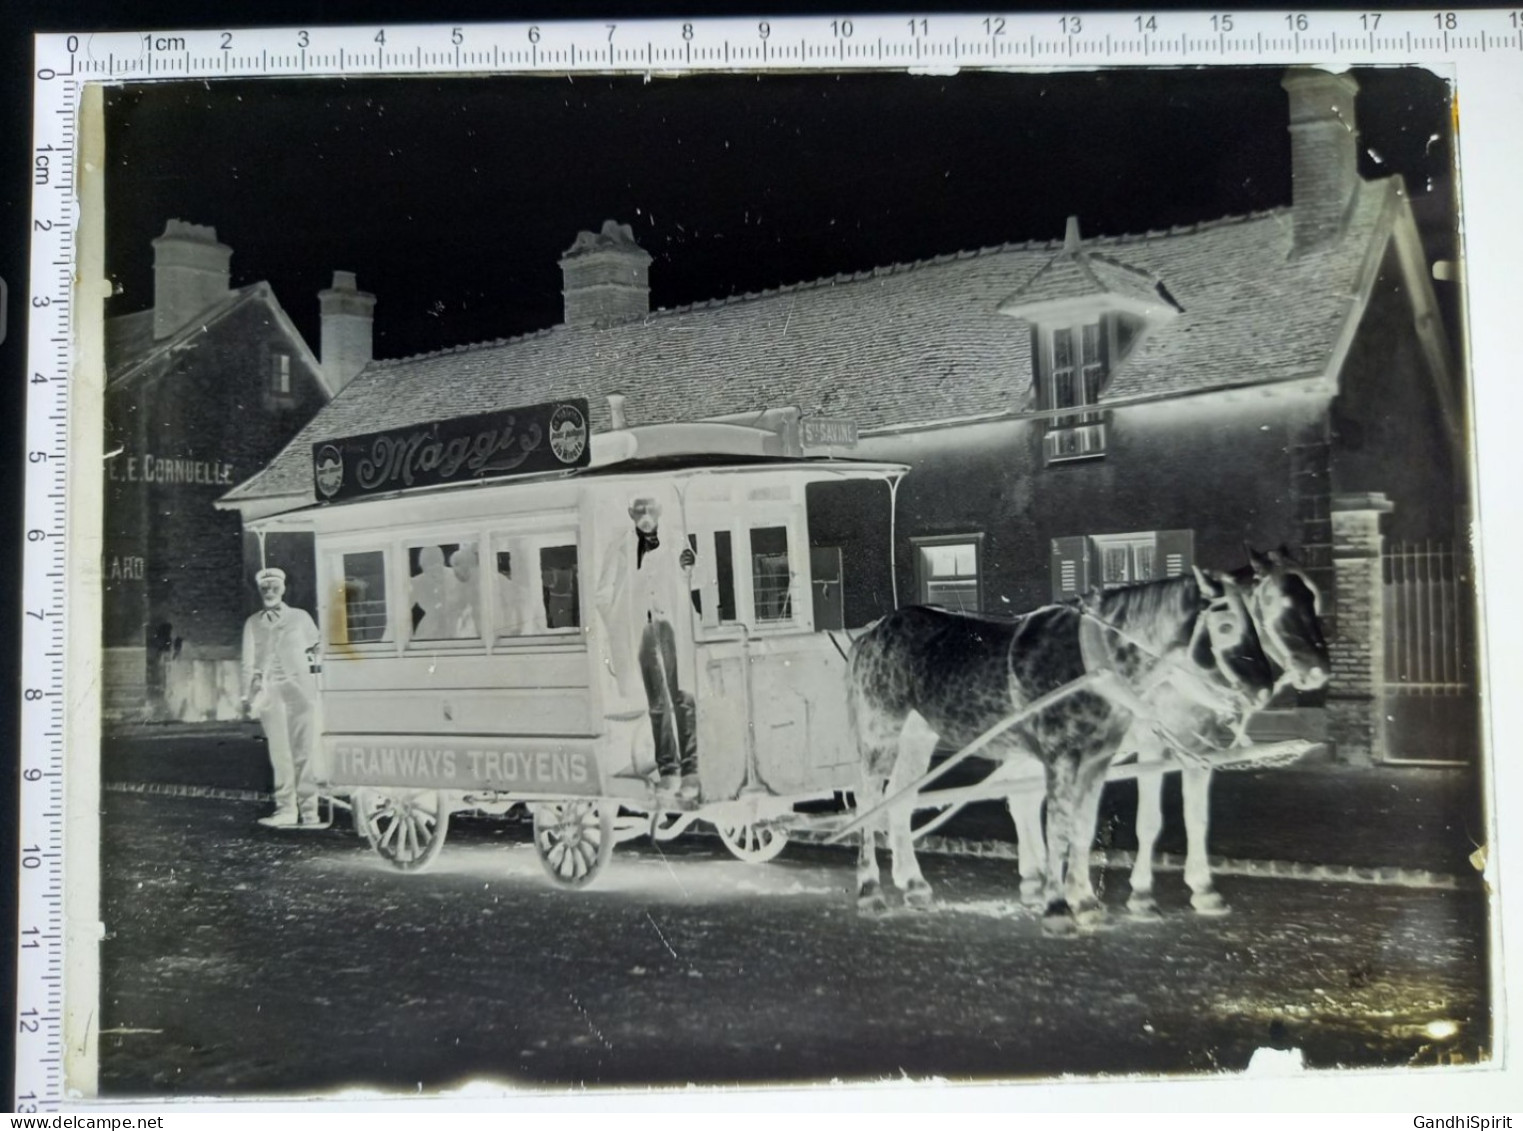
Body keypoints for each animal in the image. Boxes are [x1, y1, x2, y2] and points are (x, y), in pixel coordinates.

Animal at [852, 569, 1279, 931]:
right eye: (1226, 626)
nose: (1264, 688)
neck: (1092, 663)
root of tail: (873, 631)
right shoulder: (1062, 757)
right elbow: (1058, 828)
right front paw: (1058, 907)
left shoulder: (1097, 760)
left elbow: (1083, 828)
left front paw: (1085, 901)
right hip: (879, 733)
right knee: (867, 804)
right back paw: (869, 889)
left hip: (918, 735)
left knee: (900, 801)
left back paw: (914, 884)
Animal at [1005, 544, 1328, 919]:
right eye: (1278, 602)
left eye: (1312, 600)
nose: (1318, 670)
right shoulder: (1152, 745)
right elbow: (1148, 820)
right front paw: (1142, 894)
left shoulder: (1200, 748)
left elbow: (1197, 818)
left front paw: (1204, 889)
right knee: (1022, 799)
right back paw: (1038, 880)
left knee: (1023, 799)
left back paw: (1036, 880)